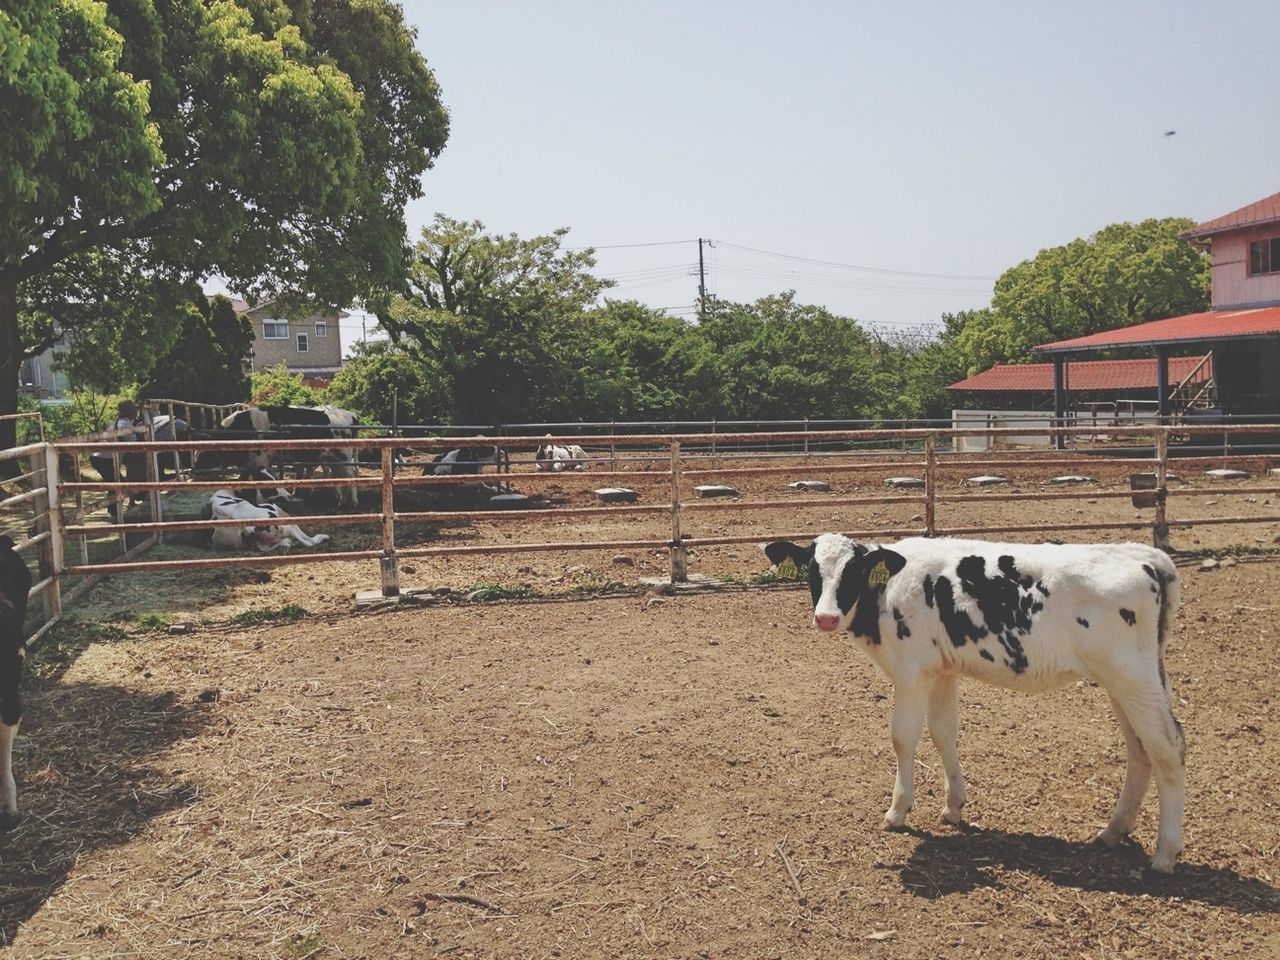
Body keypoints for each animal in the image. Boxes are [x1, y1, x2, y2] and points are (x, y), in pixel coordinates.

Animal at [762, 537, 1182, 875]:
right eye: (812, 570)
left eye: (854, 571)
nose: (826, 617)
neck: (888, 592)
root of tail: (1142, 554)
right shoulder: (942, 671)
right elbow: (943, 733)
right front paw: (953, 806)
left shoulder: (911, 672)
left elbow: (903, 738)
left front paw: (898, 810)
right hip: (1125, 684)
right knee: (1139, 749)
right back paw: (1113, 831)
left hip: (1133, 679)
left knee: (1168, 748)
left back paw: (1165, 854)